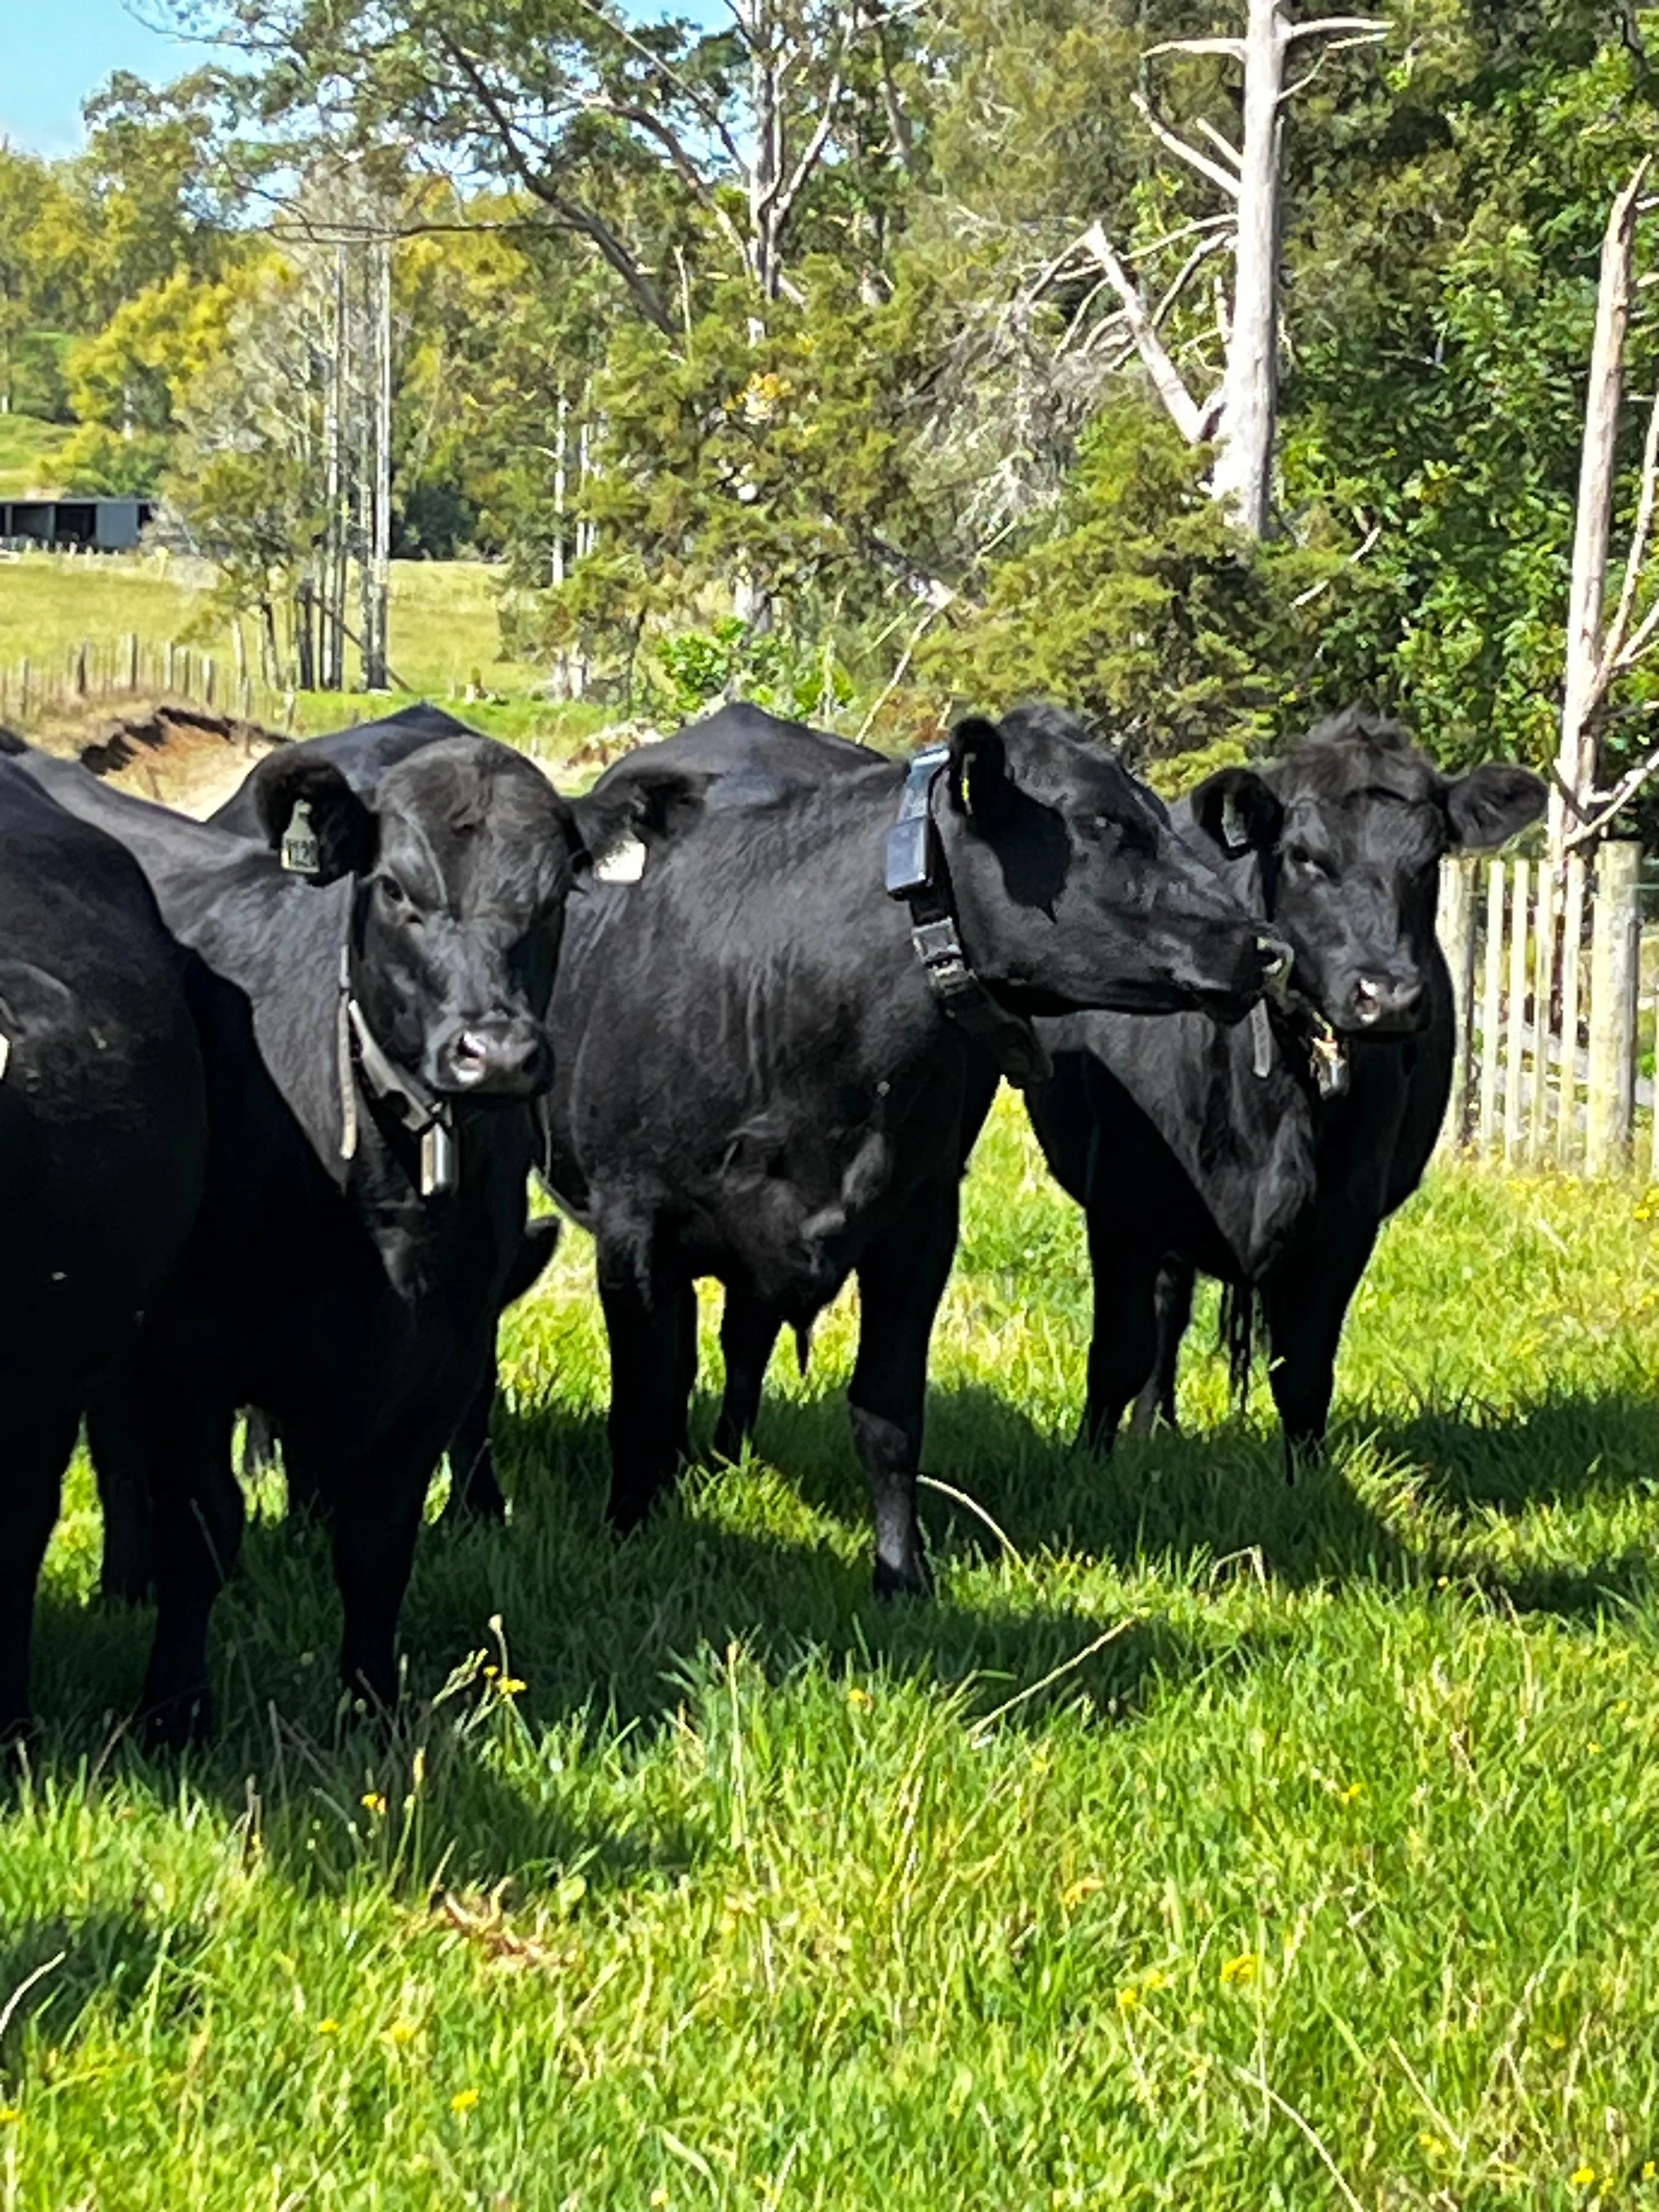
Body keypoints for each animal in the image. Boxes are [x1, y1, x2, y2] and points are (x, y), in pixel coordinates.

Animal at [7, 730, 648, 1741]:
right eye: (395, 889)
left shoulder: (444, 1360)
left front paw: (373, 1706)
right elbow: (204, 1527)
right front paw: (175, 1713)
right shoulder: (191, 1353)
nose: (496, 1055)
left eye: (556, 898)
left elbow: (379, 1544)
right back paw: (126, 1584)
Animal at [544, 700, 1287, 1596]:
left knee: (745, 1336)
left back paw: (727, 1455)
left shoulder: (920, 1220)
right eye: (1101, 822)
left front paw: (901, 1572)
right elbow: (642, 1399)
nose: (1263, 947)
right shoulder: (634, 1228)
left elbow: (888, 1410)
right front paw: (628, 1531)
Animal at [1023, 708, 1547, 1461]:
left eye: (1427, 862)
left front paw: (1308, 1477)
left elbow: (1303, 1371)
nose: (1386, 997)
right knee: (1165, 1314)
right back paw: (1153, 1430)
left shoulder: (1347, 1216)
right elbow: (1120, 1351)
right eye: (1304, 856)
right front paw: (1089, 1466)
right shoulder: (1125, 1194)